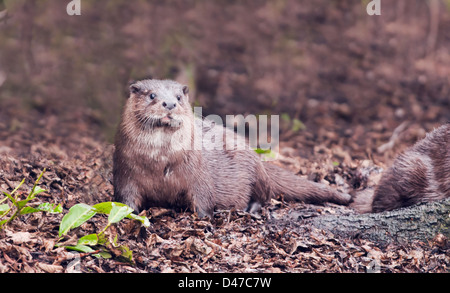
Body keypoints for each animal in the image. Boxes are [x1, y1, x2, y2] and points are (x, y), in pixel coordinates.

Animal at [112, 78, 352, 217]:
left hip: (254, 168)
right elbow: (125, 200)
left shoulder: (198, 173)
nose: (169, 104)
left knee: (264, 195)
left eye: (178, 97)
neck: (160, 162)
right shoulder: (125, 171)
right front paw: (129, 216)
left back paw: (249, 210)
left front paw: (205, 218)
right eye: (152, 95)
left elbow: (204, 198)